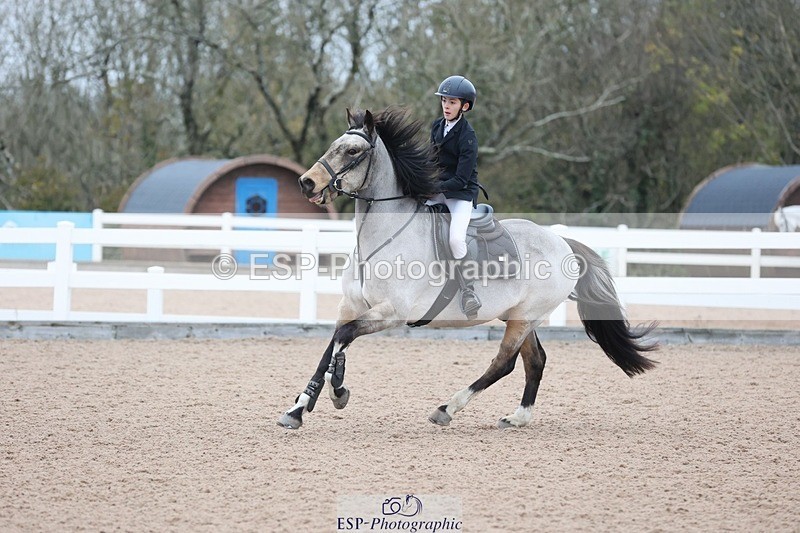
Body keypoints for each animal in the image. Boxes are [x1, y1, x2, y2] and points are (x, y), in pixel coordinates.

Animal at [278, 107, 657, 430]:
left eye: (353, 151)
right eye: (334, 146)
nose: (306, 183)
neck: (384, 238)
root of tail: (562, 243)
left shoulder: (393, 312)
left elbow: (343, 338)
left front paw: (337, 390)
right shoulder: (352, 305)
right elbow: (332, 344)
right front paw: (299, 408)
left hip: (525, 318)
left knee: (504, 362)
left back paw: (447, 408)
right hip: (520, 316)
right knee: (535, 361)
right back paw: (518, 417)